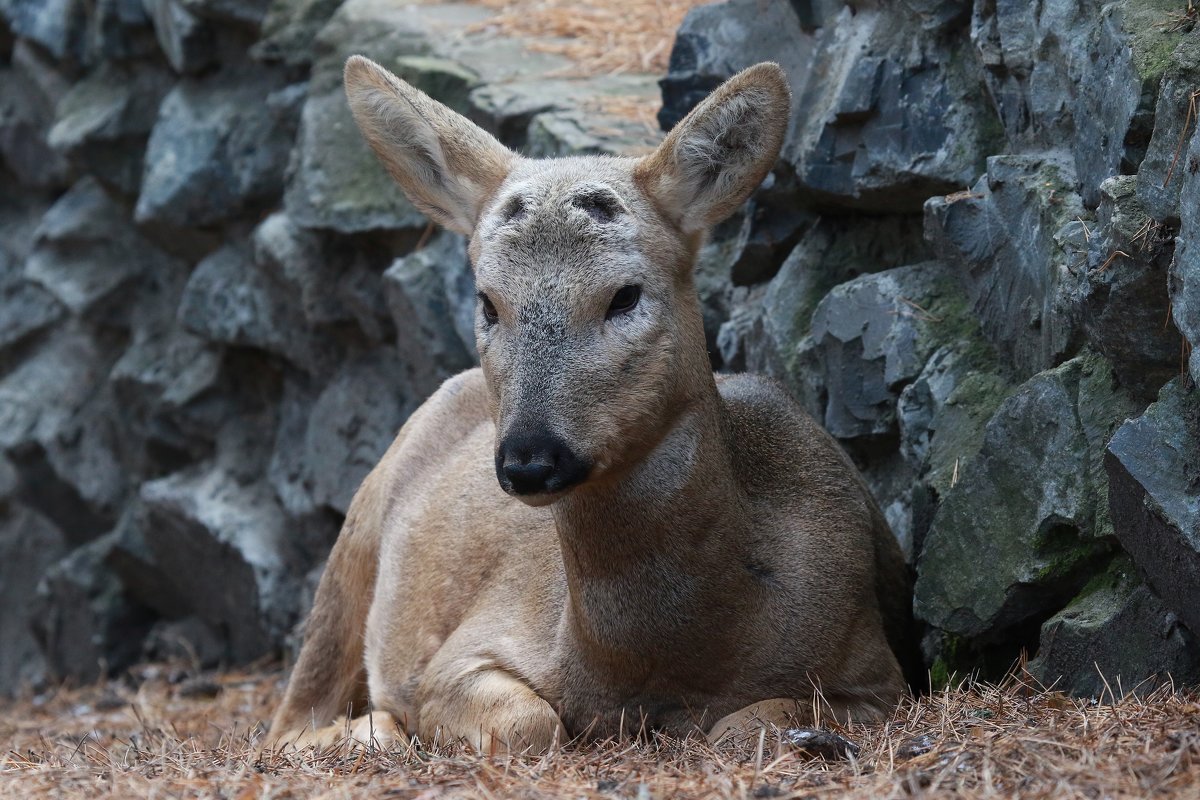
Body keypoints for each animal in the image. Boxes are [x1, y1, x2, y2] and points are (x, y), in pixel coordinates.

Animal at [267, 56, 912, 758]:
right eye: (487, 301)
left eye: (624, 295)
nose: (529, 459)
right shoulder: (465, 652)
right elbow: (530, 723)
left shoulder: (880, 675)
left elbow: (743, 727)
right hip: (356, 538)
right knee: (288, 719)